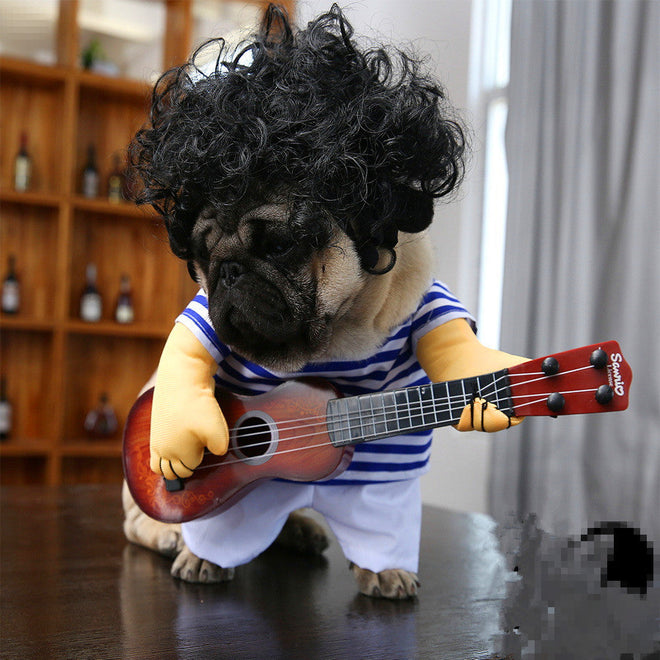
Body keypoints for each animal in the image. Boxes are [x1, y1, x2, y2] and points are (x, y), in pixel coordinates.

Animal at [124, 3, 524, 600]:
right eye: (199, 255)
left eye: (279, 245)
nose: (227, 270)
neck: (332, 336)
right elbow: (190, 351)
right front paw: (182, 447)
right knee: (145, 523)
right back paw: (185, 544)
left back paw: (323, 539)